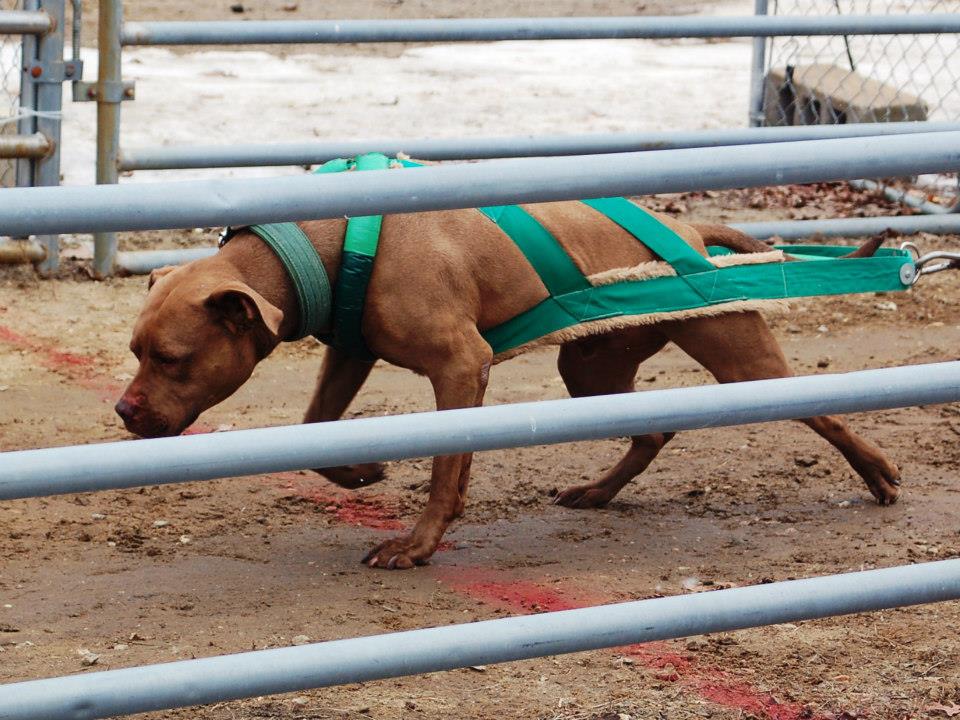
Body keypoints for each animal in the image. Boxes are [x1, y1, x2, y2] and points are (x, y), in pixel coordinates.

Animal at [118, 201, 900, 568]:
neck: (328, 245)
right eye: (134, 350)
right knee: (654, 426)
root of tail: (688, 229)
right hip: (590, 369)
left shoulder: (460, 364)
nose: (123, 411)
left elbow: (445, 469)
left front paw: (417, 546)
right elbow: (316, 430)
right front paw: (363, 469)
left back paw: (877, 473)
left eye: (172, 358)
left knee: (823, 413)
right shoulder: (350, 353)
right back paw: (598, 492)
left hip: (736, 354)